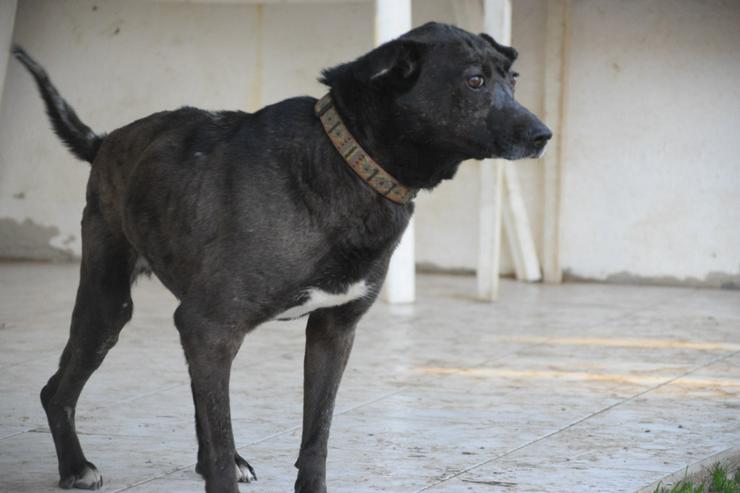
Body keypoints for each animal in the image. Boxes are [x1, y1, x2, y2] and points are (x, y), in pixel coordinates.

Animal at [14, 21, 552, 490]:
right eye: (475, 81)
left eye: (513, 79)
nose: (543, 134)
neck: (348, 162)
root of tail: (104, 141)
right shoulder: (211, 324)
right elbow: (221, 443)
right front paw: (221, 467)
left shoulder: (331, 330)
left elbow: (317, 435)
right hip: (109, 306)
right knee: (57, 391)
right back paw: (76, 467)